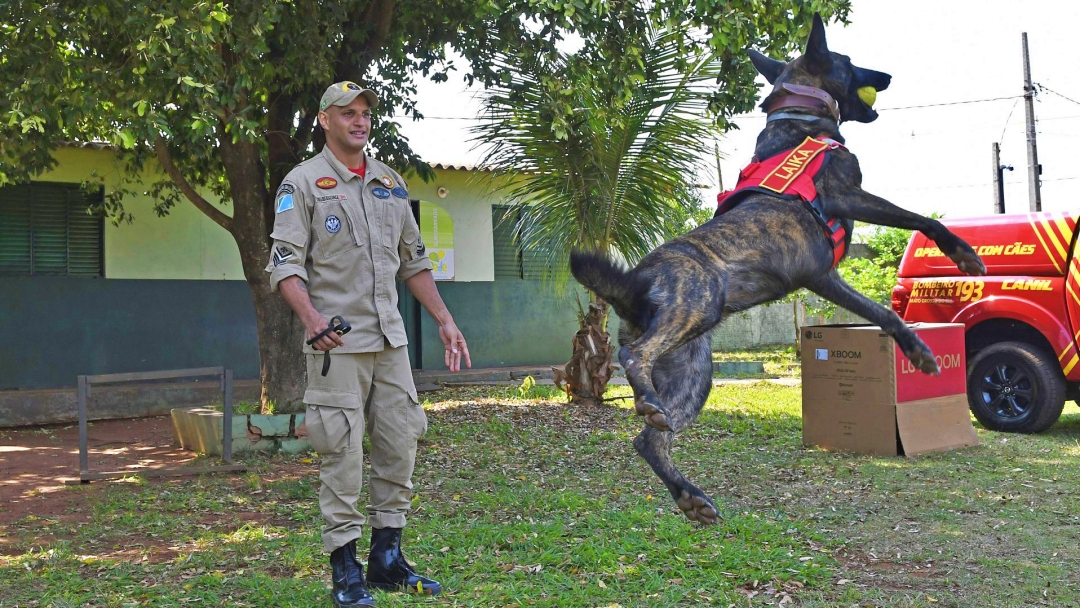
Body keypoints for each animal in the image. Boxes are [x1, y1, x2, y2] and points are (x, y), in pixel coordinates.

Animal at [574, 15, 989, 529]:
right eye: (848, 60)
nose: (888, 76)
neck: (800, 120)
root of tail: (632, 285)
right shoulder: (840, 213)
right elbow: (916, 232)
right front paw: (956, 273)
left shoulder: (826, 270)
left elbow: (886, 295)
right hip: (697, 303)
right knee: (634, 358)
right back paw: (649, 407)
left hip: (693, 373)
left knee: (649, 439)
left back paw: (690, 493)